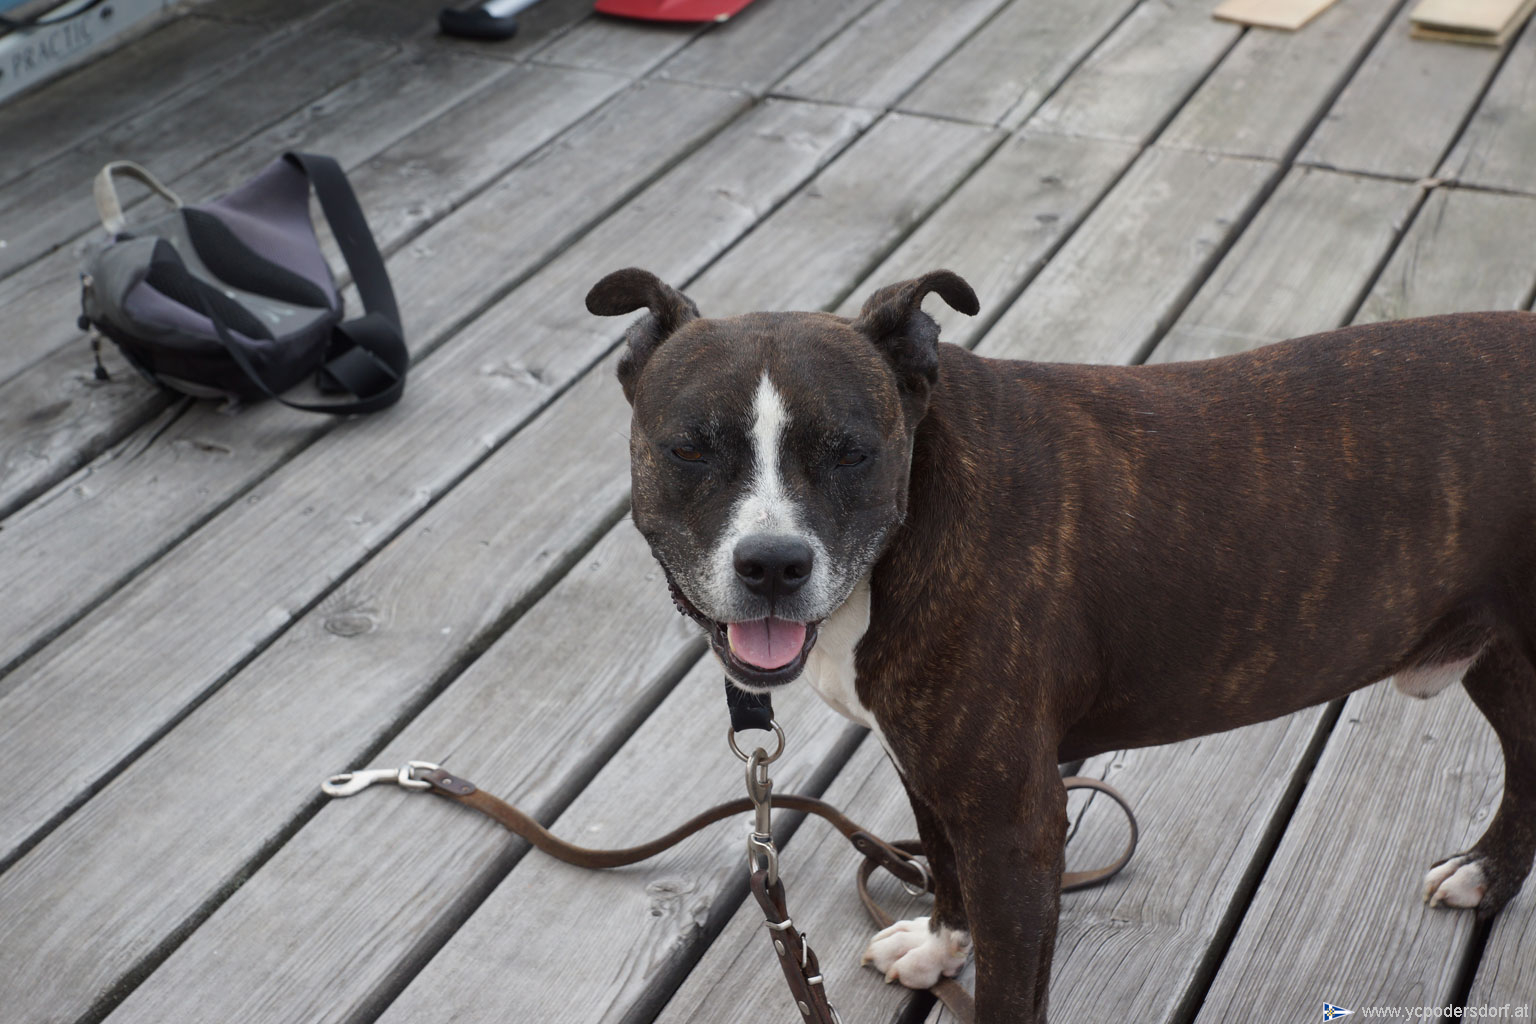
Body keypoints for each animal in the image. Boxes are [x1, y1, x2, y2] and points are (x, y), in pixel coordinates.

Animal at [585, 266, 1536, 1022]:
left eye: (851, 452)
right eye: (689, 449)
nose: (774, 563)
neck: (917, 512)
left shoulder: (1016, 821)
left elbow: (1013, 988)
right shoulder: (933, 774)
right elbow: (945, 869)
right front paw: (941, 948)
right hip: (1503, 664)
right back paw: (1487, 875)